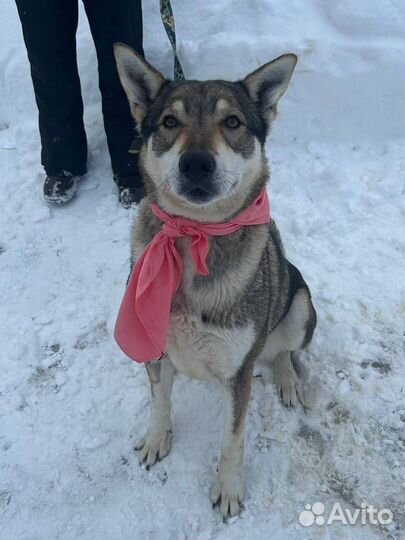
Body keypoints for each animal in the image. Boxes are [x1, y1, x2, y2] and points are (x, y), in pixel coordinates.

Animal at [113, 43, 316, 520]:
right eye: (170, 122)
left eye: (233, 122)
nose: (196, 163)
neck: (193, 236)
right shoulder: (155, 346)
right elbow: (160, 401)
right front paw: (157, 440)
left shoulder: (239, 373)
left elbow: (232, 439)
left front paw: (228, 490)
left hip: (300, 303)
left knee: (284, 350)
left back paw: (288, 380)